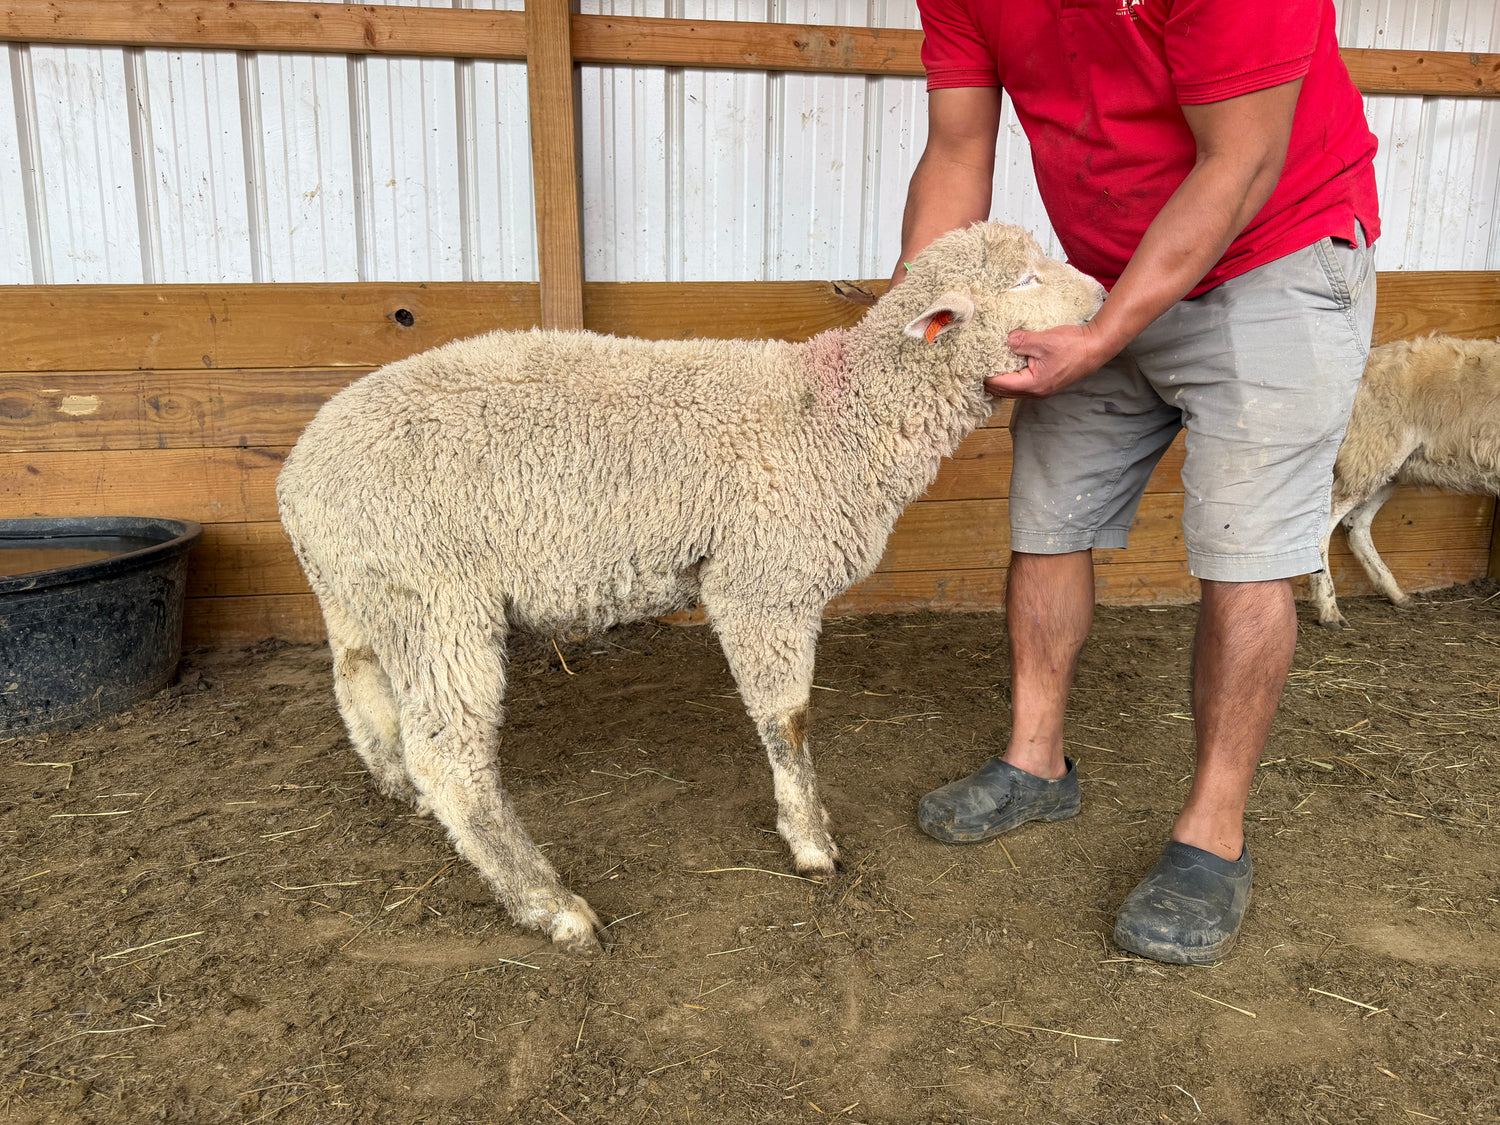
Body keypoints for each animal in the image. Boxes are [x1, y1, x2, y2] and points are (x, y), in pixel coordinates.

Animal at [277, 221, 1105, 951]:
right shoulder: (764, 582)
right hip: (434, 593)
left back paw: (404, 793)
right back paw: (551, 904)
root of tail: (297, 477)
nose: (1102, 297)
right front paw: (811, 840)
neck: (841, 416)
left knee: (361, 690)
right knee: (451, 758)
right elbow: (789, 723)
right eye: (1025, 280)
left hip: (362, 592)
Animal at [1312, 335, 1500, 628]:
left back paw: (1397, 594)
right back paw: (1329, 610)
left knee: (1356, 524)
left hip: (1389, 465)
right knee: (1325, 523)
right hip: (1369, 449)